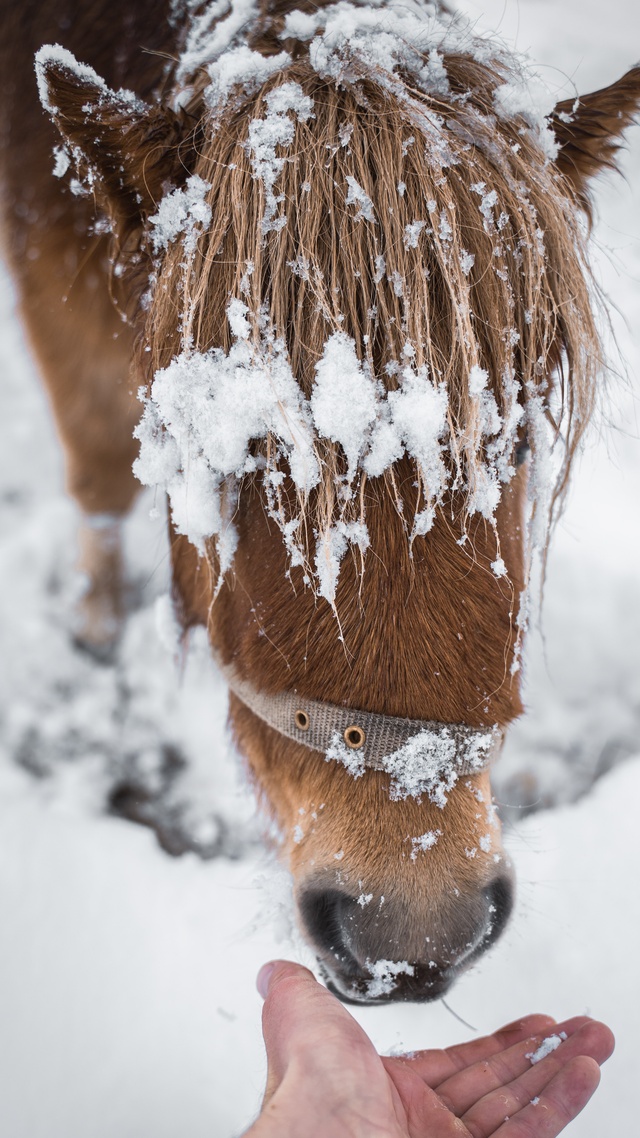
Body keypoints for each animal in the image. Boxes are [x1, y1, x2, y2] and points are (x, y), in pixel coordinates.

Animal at [1, 0, 637, 1001]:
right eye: (238, 446)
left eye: (514, 435)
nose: (415, 928)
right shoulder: (45, 267)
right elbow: (98, 466)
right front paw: (96, 640)